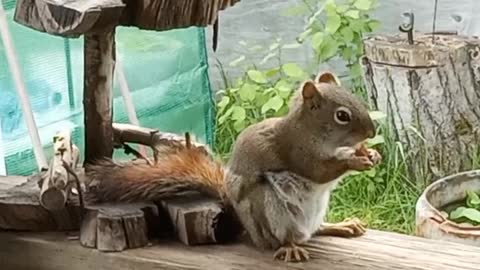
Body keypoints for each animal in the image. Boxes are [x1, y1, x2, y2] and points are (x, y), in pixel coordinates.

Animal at [83, 70, 382, 262]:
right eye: (342, 115)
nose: (372, 130)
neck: (311, 131)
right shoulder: (297, 151)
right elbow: (319, 171)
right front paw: (355, 159)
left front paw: (371, 153)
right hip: (268, 208)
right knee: (287, 237)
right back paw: (290, 247)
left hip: (317, 210)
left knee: (314, 231)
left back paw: (341, 225)